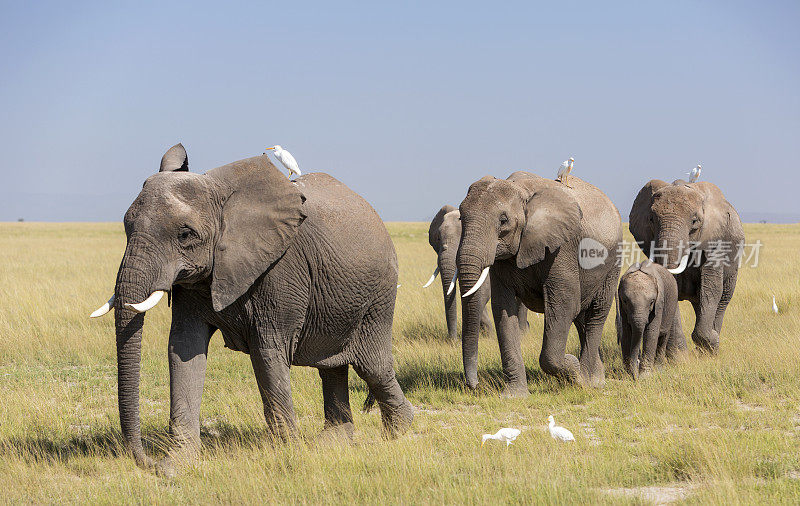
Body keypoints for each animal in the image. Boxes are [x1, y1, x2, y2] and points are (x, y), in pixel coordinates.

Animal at [90, 143, 412, 474]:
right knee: (331, 366)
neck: (220, 192)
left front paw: (289, 454)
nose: (147, 462)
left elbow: (267, 350)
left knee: (373, 366)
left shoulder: (280, 268)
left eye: (185, 235)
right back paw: (334, 442)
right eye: (126, 226)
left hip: (380, 295)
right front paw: (175, 466)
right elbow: (183, 348)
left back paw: (401, 432)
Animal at [424, 205, 532, 340]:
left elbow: (483, 290)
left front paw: (488, 335)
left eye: (462, 238)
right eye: (438, 238)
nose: (452, 340)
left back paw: (523, 332)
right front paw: (487, 333)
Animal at [456, 172, 620, 394]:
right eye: (460, 217)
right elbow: (503, 308)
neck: (521, 191)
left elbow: (563, 305)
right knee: (581, 317)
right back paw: (597, 379)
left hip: (612, 263)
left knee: (596, 313)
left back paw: (588, 380)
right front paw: (514, 395)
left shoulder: (561, 248)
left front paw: (573, 369)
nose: (474, 385)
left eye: (503, 220)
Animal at [628, 180, 748, 354]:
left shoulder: (715, 241)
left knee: (723, 299)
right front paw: (679, 356)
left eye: (694, 221)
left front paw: (712, 341)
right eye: (651, 219)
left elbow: (711, 289)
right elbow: (672, 290)